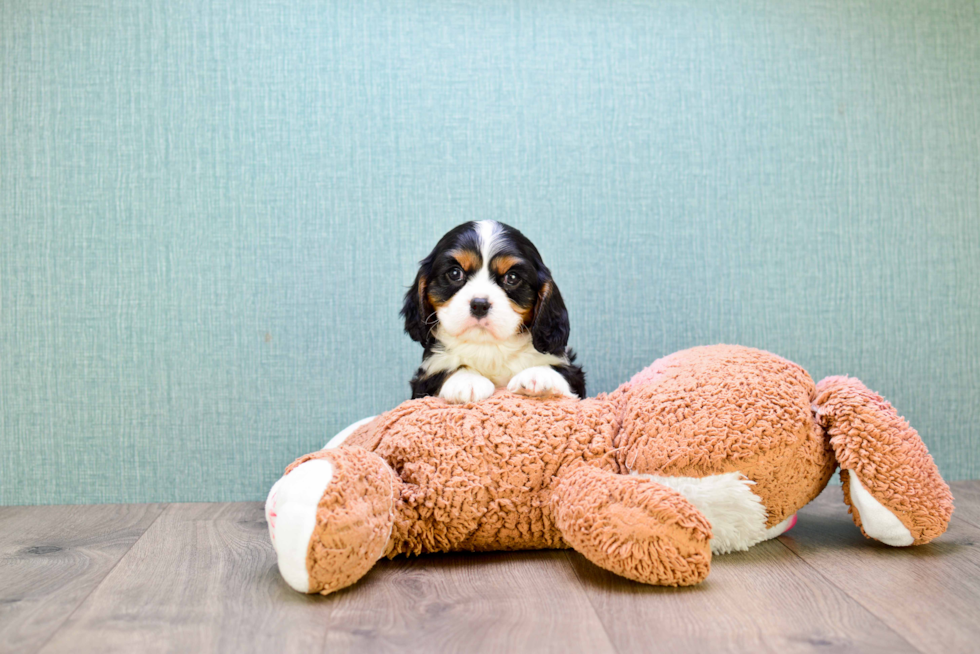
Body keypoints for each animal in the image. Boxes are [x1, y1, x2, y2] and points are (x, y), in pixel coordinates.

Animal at [402, 223, 584, 402]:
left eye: (512, 277)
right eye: (454, 273)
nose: (479, 304)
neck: (487, 346)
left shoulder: (572, 373)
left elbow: (559, 370)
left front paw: (538, 374)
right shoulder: (425, 380)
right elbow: (443, 371)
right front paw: (467, 379)